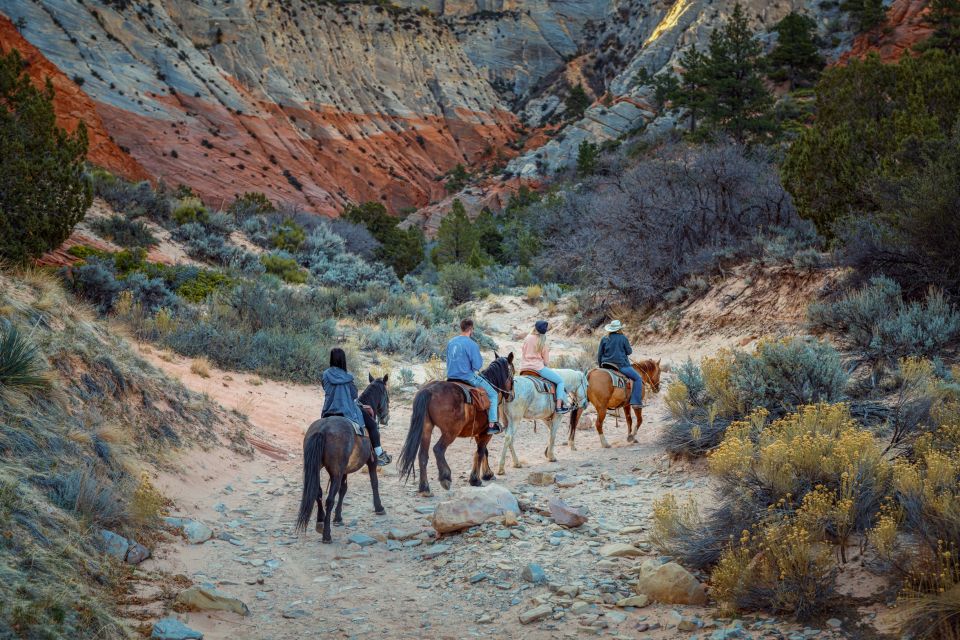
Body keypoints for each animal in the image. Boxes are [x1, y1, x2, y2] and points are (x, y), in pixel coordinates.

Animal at [298, 372, 392, 544]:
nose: (385, 418)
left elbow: (343, 489)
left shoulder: (344, 470)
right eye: (386, 395)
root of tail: (322, 429)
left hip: (316, 468)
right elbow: (374, 483)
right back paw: (326, 534)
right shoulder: (371, 462)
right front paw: (379, 508)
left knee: (318, 492)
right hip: (335, 472)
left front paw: (338, 518)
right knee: (329, 499)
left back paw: (320, 522)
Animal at [398, 356, 516, 496]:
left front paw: (487, 474)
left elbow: (483, 452)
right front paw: (476, 479)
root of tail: (429, 390)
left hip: (426, 429)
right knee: (438, 449)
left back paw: (425, 488)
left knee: (423, 455)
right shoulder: (486, 433)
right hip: (450, 432)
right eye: (513, 372)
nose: (512, 396)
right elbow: (481, 452)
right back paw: (445, 477)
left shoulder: (479, 432)